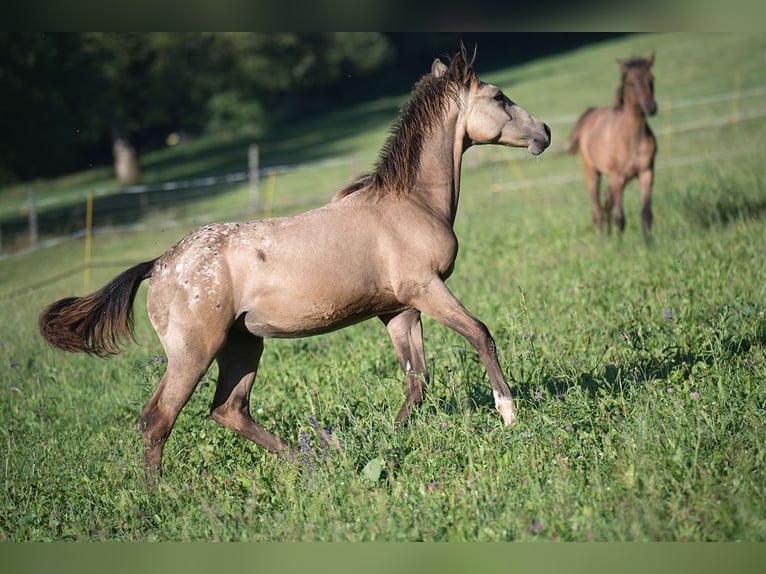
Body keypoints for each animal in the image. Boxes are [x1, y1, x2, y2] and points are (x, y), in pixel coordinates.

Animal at [38, 48, 551, 486]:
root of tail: (161, 264)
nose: (544, 132)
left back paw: (314, 458)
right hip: (193, 354)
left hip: (242, 345)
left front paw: (394, 434)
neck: (410, 203)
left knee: (228, 409)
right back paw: (160, 494)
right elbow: (480, 334)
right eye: (499, 97)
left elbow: (416, 380)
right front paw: (509, 412)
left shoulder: (399, 309)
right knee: (157, 418)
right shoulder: (427, 290)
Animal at [569, 53, 657, 240]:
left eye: (651, 79)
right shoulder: (616, 175)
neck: (631, 140)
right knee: (597, 208)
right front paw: (620, 244)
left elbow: (646, 213)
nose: (651, 108)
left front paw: (649, 243)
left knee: (607, 199)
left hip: (623, 178)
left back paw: (608, 236)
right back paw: (602, 239)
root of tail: (589, 114)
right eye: (631, 83)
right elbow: (620, 218)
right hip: (594, 172)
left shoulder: (646, 172)